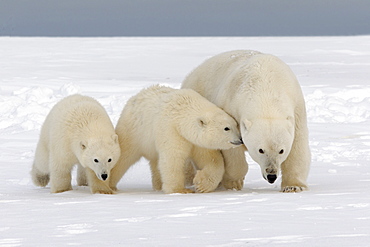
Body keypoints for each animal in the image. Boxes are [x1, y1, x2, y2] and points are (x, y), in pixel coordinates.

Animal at [110, 86, 243, 194]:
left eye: (236, 125)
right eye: (227, 128)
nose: (240, 140)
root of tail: (135, 97)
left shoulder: (195, 141)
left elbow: (211, 159)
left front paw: (201, 184)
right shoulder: (171, 130)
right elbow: (172, 158)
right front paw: (180, 190)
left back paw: (158, 185)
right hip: (134, 131)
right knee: (124, 156)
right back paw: (110, 184)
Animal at [181, 50, 310, 193]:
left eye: (281, 150)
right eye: (260, 150)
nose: (271, 175)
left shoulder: (296, 108)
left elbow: (297, 148)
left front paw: (293, 186)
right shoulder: (231, 106)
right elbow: (232, 148)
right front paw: (234, 182)